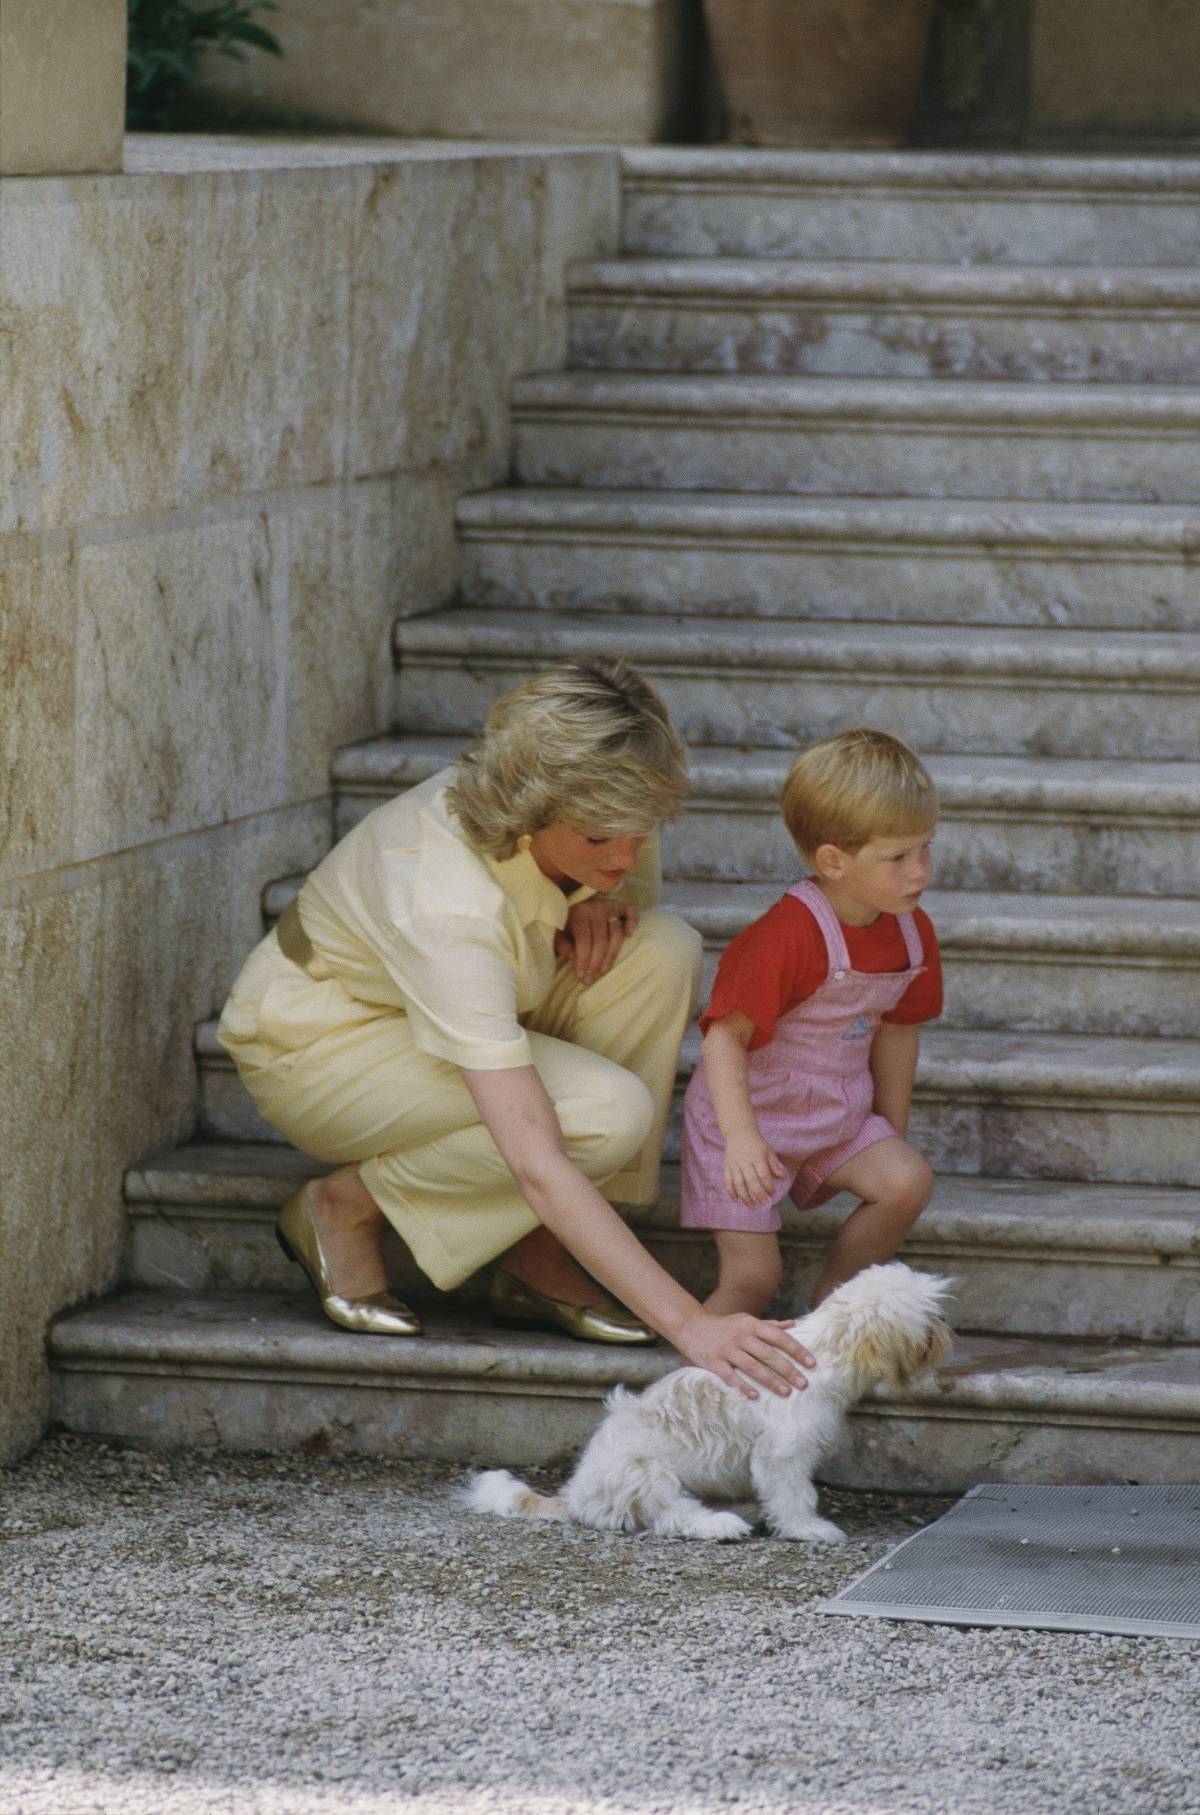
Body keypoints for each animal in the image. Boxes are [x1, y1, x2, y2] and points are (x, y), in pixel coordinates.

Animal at [462, 1263, 951, 1546]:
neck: (823, 1348)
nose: (947, 1329)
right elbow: (794, 1495)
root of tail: (576, 1494)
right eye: (930, 1319)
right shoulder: (784, 1454)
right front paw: (809, 1528)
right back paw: (720, 1525)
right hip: (646, 1474)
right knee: (671, 1516)